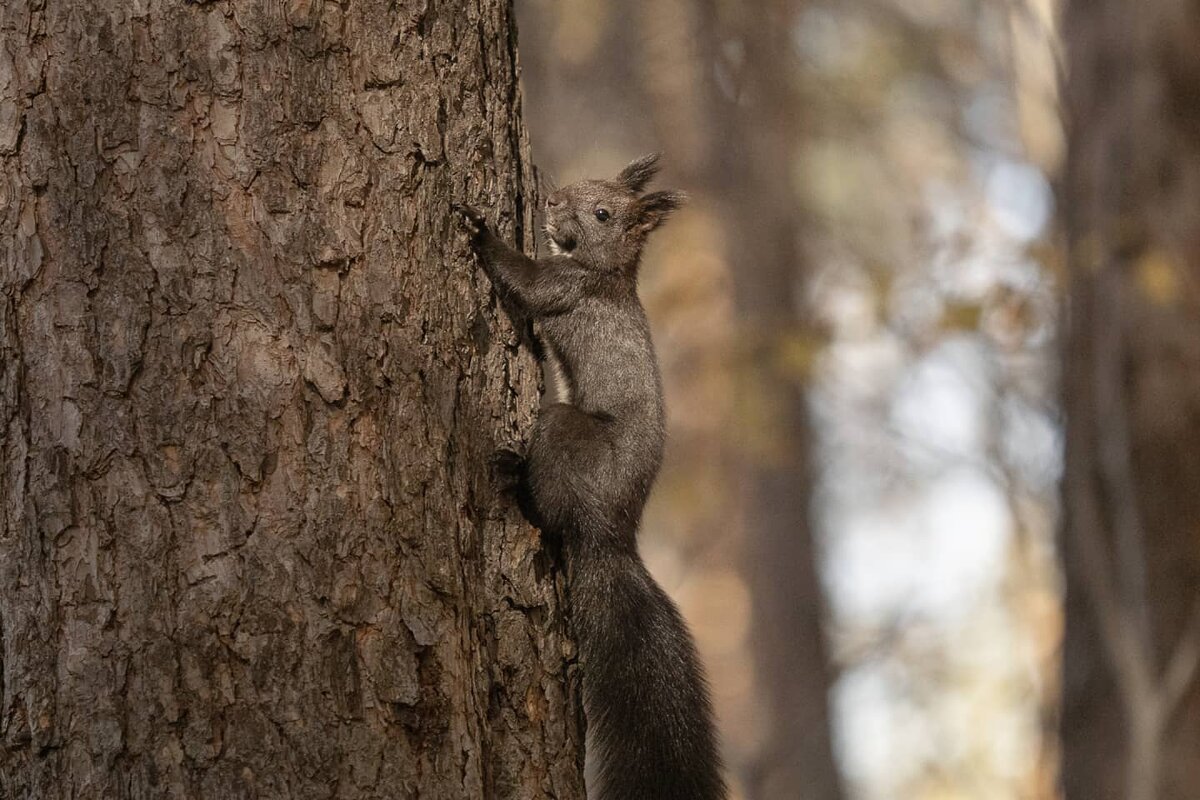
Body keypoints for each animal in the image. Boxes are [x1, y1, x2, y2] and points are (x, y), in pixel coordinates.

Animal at [453, 151, 724, 800]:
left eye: (603, 213)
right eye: (584, 183)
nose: (551, 200)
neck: (603, 271)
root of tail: (609, 534)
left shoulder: (563, 289)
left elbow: (524, 280)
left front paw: (481, 230)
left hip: (562, 433)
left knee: (552, 513)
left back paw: (515, 480)